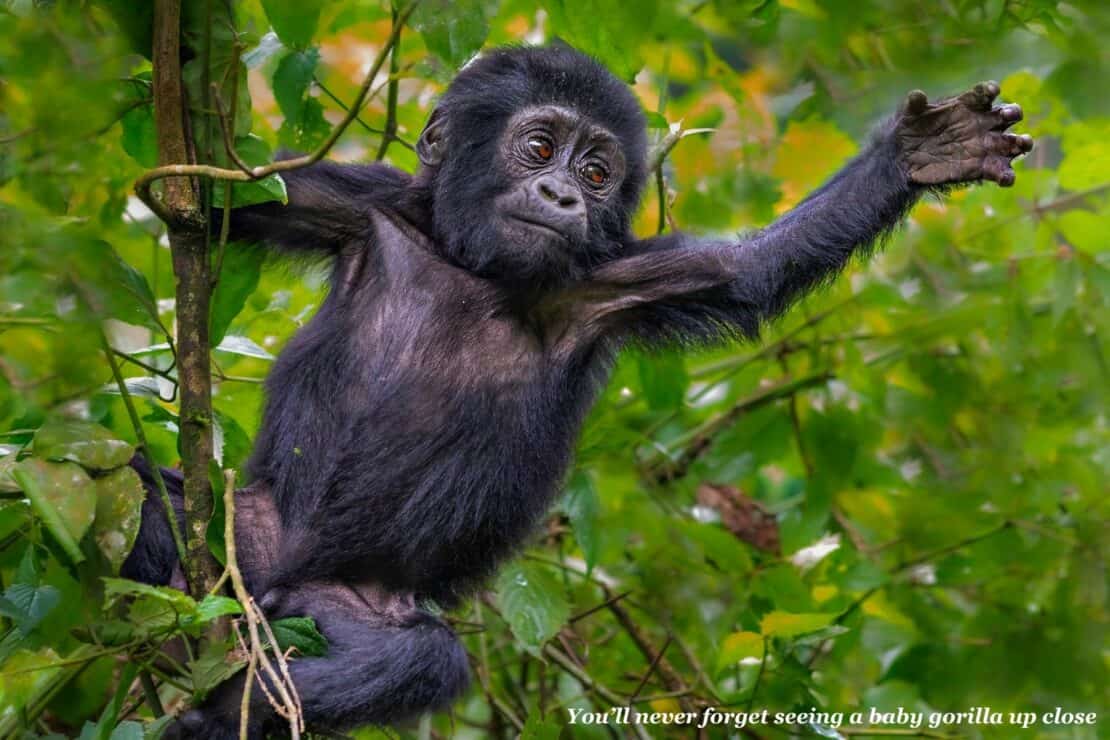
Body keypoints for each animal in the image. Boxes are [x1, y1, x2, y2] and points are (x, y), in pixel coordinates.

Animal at [127, 43, 1030, 736]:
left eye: (597, 172)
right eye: (538, 148)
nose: (562, 193)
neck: (476, 266)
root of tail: (273, 587)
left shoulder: (616, 280)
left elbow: (747, 273)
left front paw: (922, 152)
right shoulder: (356, 204)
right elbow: (201, 199)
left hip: (337, 607)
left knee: (417, 656)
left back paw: (225, 709)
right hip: (245, 535)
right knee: (140, 497)